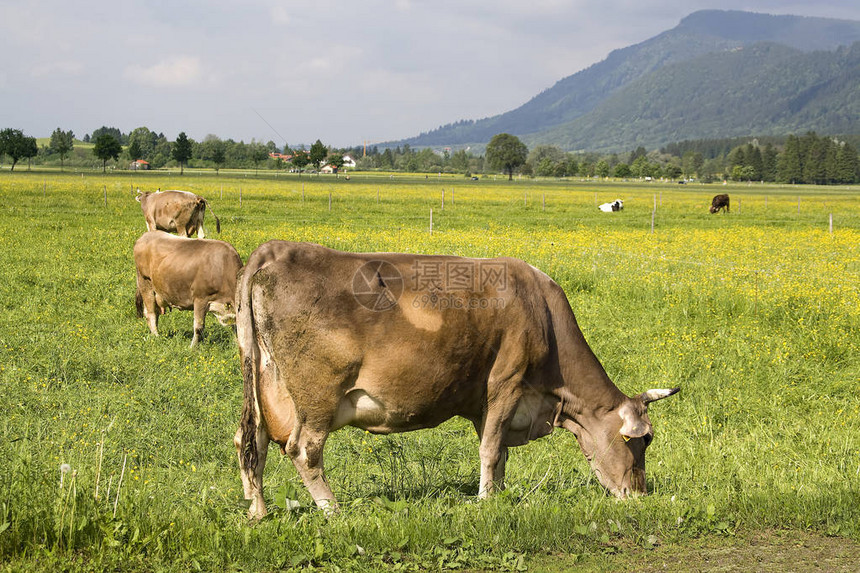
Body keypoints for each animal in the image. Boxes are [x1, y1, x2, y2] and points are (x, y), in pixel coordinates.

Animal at [233, 241, 680, 520]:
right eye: (641, 439)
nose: (638, 494)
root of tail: (276, 250)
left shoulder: (489, 404)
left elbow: (499, 451)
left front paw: (499, 494)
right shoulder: (506, 383)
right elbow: (491, 450)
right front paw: (485, 502)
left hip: (261, 385)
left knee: (250, 441)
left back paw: (258, 510)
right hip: (317, 397)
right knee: (303, 449)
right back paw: (332, 510)